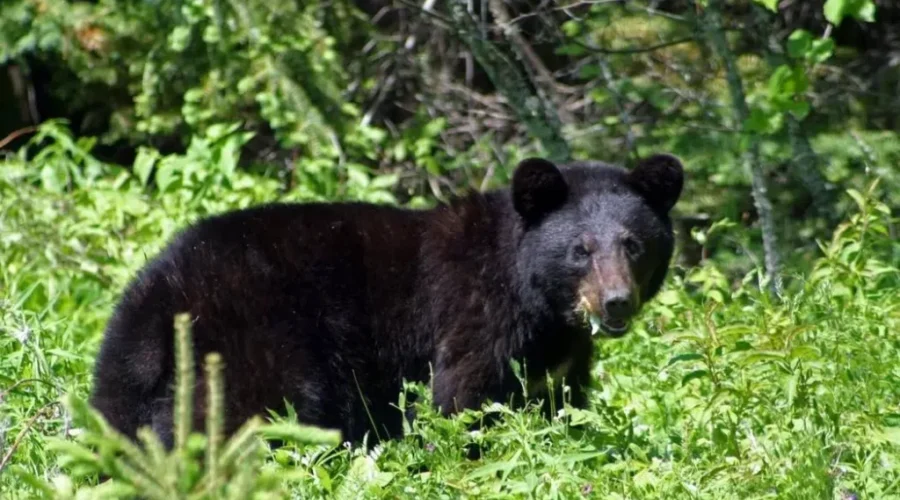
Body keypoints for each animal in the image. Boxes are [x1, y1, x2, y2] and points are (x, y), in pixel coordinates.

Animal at [89, 153, 684, 448]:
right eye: (581, 249)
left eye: (633, 243)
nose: (615, 303)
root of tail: (159, 295)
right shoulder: (474, 317)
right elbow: (460, 403)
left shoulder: (559, 356)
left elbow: (560, 403)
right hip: (254, 344)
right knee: (248, 416)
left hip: (130, 382)